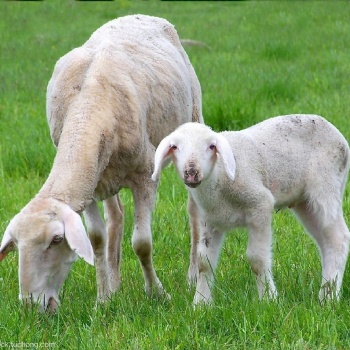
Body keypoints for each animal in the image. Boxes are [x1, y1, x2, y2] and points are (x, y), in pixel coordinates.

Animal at [0, 15, 202, 314]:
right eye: (16, 245)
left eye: (56, 240)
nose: (32, 306)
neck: (88, 106)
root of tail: (138, 15)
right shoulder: (90, 187)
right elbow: (97, 238)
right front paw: (103, 300)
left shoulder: (145, 176)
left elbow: (142, 243)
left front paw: (157, 294)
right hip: (107, 175)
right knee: (116, 217)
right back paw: (115, 284)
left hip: (193, 119)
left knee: (193, 209)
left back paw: (193, 276)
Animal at [152, 114, 350, 304]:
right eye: (175, 147)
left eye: (211, 146)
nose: (191, 172)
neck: (220, 177)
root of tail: (336, 133)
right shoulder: (210, 221)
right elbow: (204, 262)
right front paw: (201, 304)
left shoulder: (260, 204)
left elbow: (257, 259)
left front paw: (269, 299)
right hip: (304, 202)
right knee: (325, 241)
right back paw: (326, 291)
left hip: (325, 187)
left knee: (338, 237)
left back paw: (329, 297)